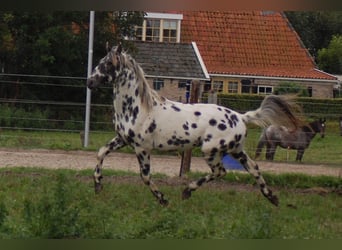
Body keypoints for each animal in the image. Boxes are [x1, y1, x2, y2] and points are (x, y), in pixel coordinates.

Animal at [87, 43, 300, 207]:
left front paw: (163, 200)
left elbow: (145, 176)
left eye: (108, 63)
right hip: (236, 150)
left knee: (221, 171)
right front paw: (98, 185)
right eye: (100, 62)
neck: (137, 108)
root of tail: (240, 117)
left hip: (211, 150)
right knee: (254, 167)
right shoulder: (121, 139)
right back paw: (272, 198)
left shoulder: (142, 148)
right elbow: (100, 152)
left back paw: (187, 191)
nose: (89, 82)